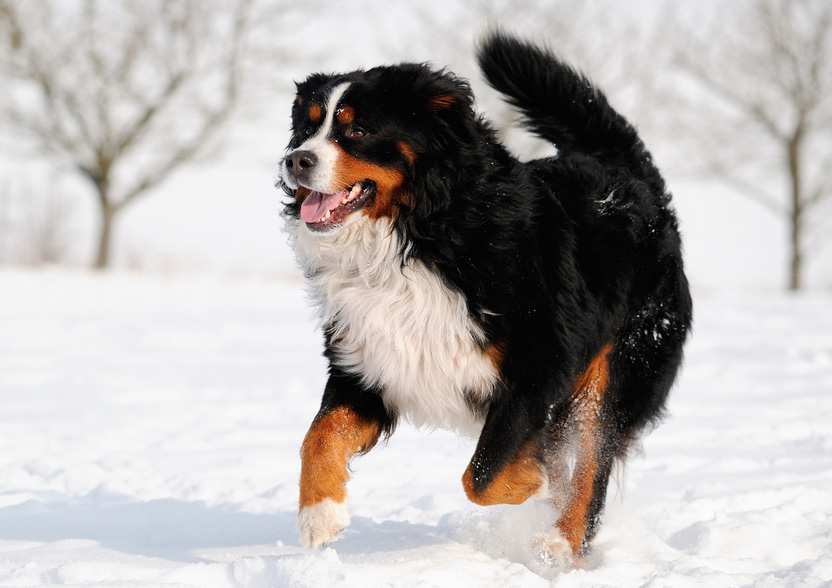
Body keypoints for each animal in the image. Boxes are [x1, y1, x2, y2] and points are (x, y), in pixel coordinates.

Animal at [276, 32, 692, 564]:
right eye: (305, 129)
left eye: (359, 129)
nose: (295, 160)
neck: (419, 236)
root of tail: (635, 181)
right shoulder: (366, 363)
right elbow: (320, 435)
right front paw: (320, 515)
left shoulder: (535, 368)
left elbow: (483, 475)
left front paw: (534, 485)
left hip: (621, 366)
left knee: (592, 462)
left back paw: (560, 543)